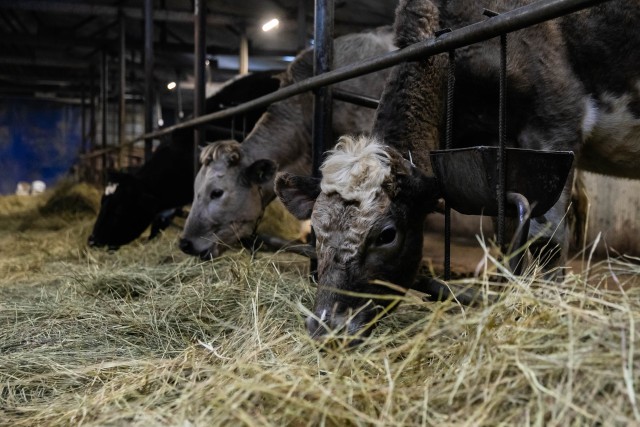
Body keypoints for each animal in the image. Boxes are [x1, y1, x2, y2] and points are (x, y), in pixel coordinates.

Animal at [276, 0, 640, 342]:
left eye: (387, 235)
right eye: (316, 232)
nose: (325, 325)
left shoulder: (557, 122)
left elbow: (546, 241)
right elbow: (508, 239)